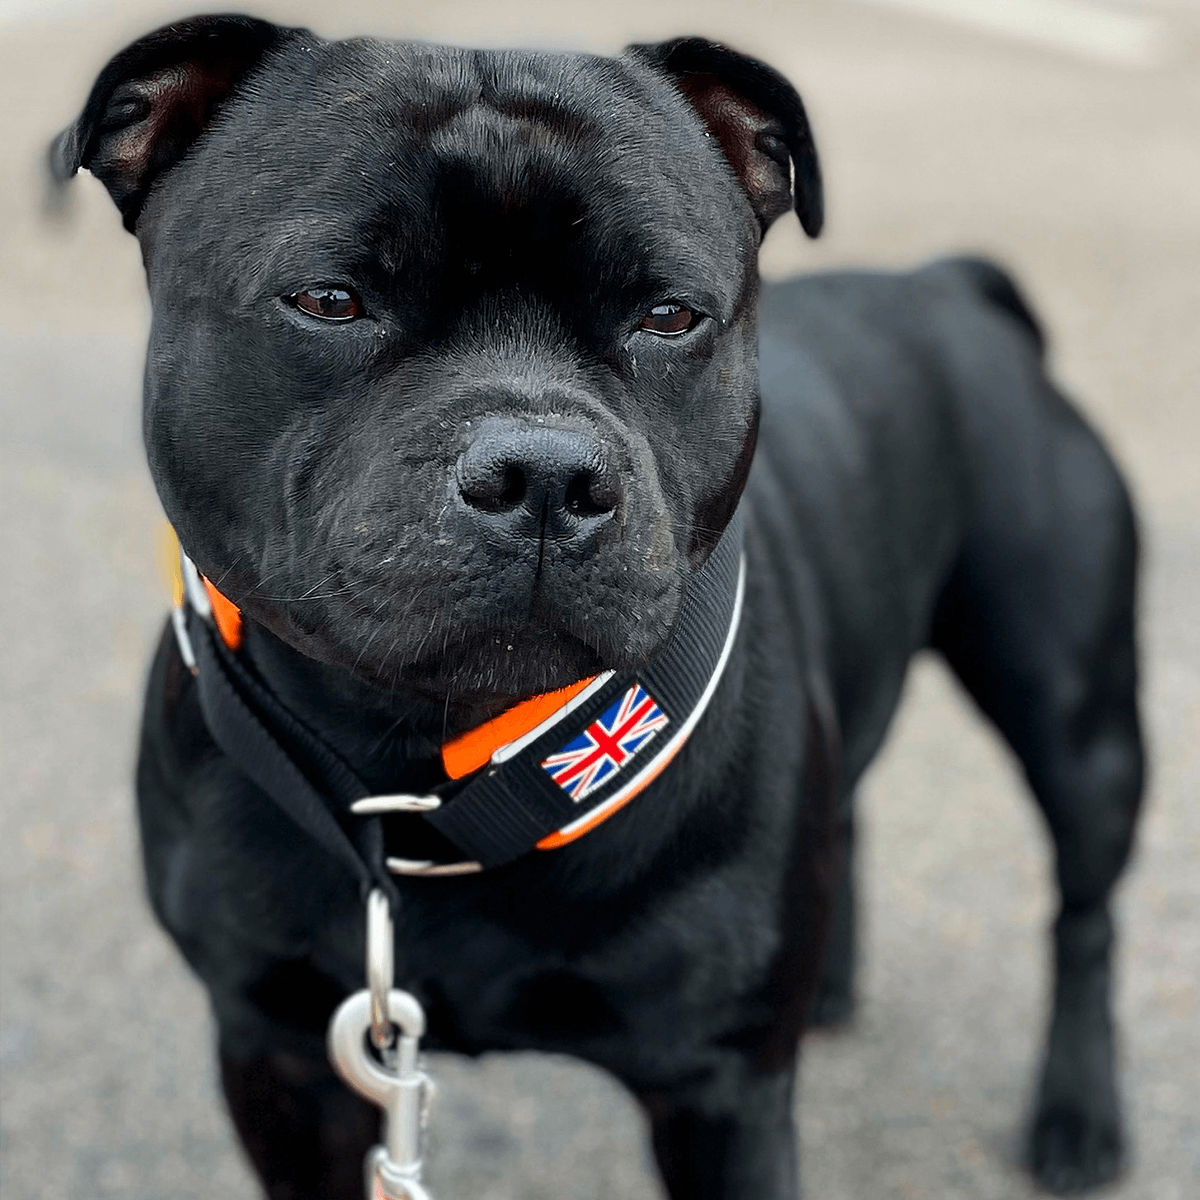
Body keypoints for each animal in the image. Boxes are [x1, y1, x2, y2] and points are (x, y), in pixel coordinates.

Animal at [54, 18, 1142, 1200]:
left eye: (670, 316)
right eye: (330, 300)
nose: (544, 473)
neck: (433, 780)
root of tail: (944, 285)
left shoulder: (722, 1094)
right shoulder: (282, 1060)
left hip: (1075, 719)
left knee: (1084, 915)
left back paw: (1080, 1117)